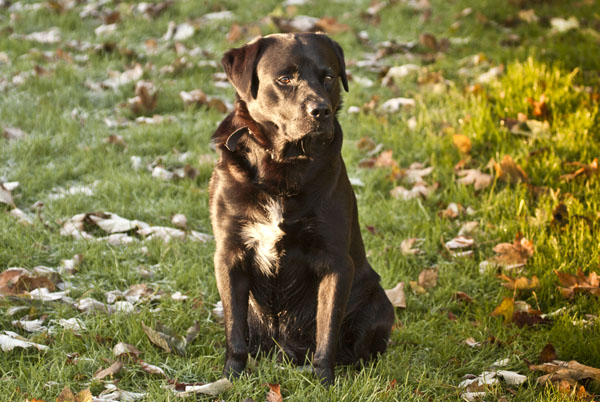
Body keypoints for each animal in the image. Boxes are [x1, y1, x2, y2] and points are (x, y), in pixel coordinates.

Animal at [209, 32, 396, 384]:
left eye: (329, 77)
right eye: (285, 79)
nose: (320, 110)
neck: (284, 164)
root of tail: (286, 351)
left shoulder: (336, 262)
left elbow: (327, 331)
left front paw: (324, 381)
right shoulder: (230, 255)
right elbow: (235, 334)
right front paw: (230, 378)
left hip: (377, 303)